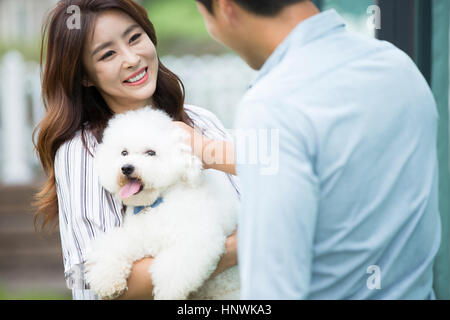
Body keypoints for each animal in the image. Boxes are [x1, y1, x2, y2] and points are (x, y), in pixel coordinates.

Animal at [84, 107, 239, 300]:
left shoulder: (196, 238)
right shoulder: (137, 236)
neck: (155, 204)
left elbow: (174, 269)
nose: (126, 168)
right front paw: (107, 280)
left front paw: (168, 292)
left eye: (151, 153)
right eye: (124, 153)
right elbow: (113, 245)